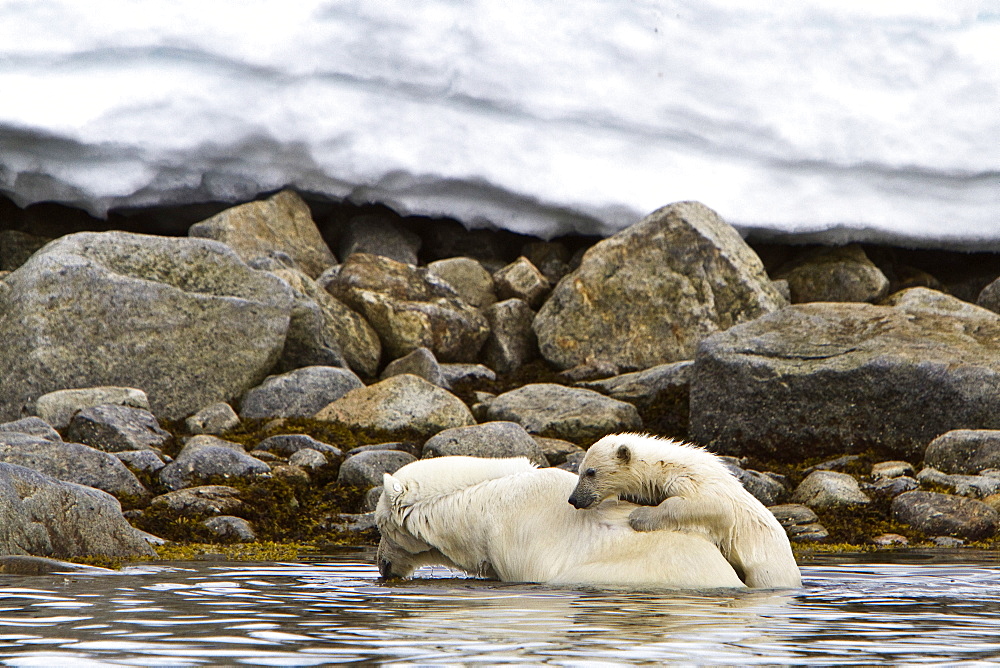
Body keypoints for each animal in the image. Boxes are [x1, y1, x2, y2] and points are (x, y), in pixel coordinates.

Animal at [572, 430, 796, 588]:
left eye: (590, 472)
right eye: (580, 470)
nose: (574, 499)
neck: (664, 464)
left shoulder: (694, 480)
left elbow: (714, 507)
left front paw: (639, 517)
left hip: (768, 563)